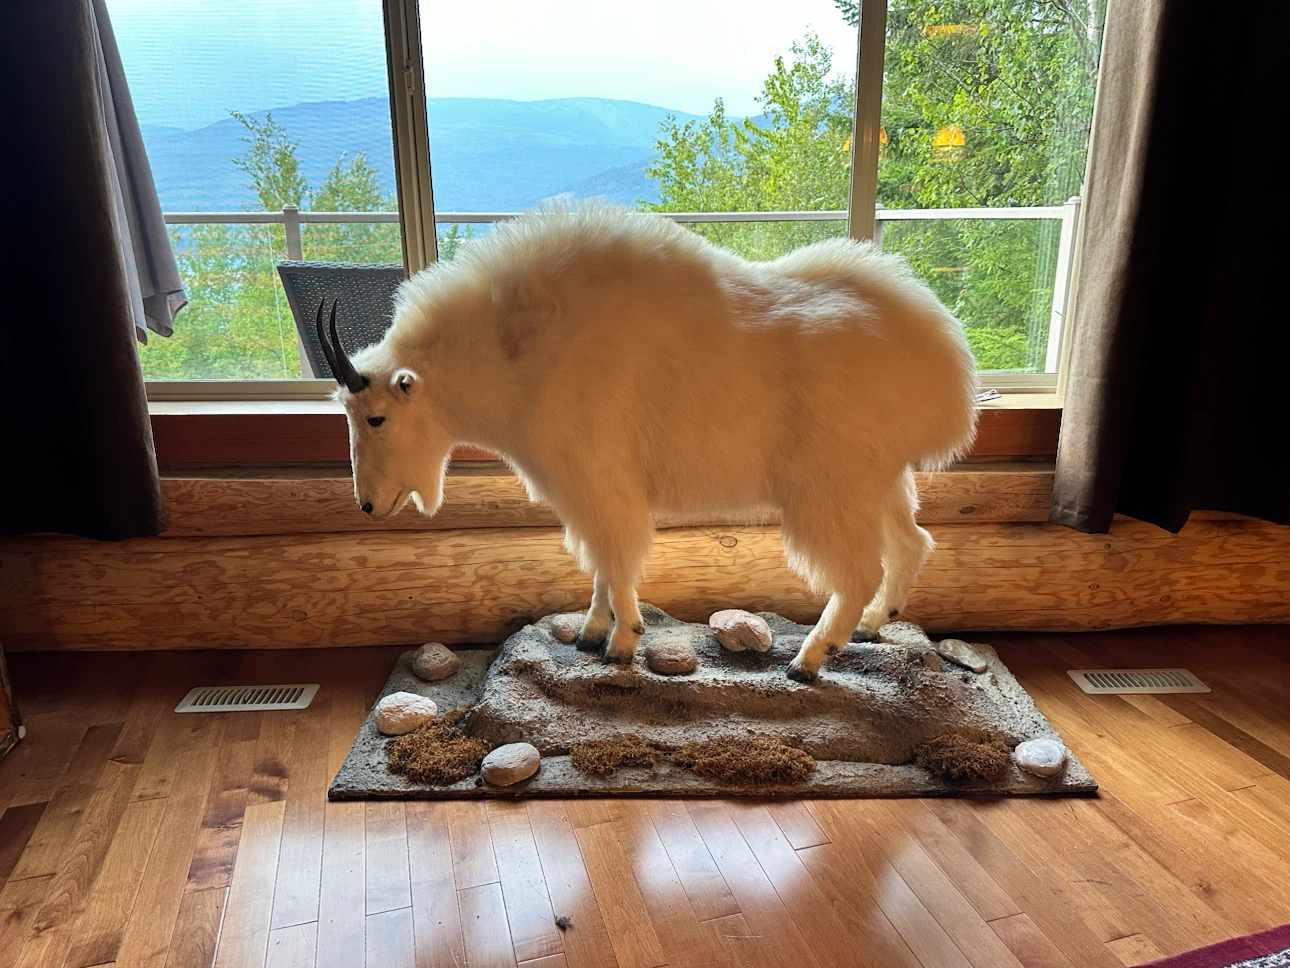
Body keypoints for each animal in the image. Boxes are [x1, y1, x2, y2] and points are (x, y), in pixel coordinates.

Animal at [318, 203, 977, 681]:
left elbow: (616, 556)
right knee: (912, 545)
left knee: (859, 570)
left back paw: (809, 660)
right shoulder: (586, 490)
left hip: (829, 490)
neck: (514, 352)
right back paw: (872, 625)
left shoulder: (597, 479)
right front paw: (590, 633)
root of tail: (945, 371)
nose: (369, 504)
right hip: (882, 480)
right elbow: (600, 563)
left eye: (376, 418)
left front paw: (621, 643)